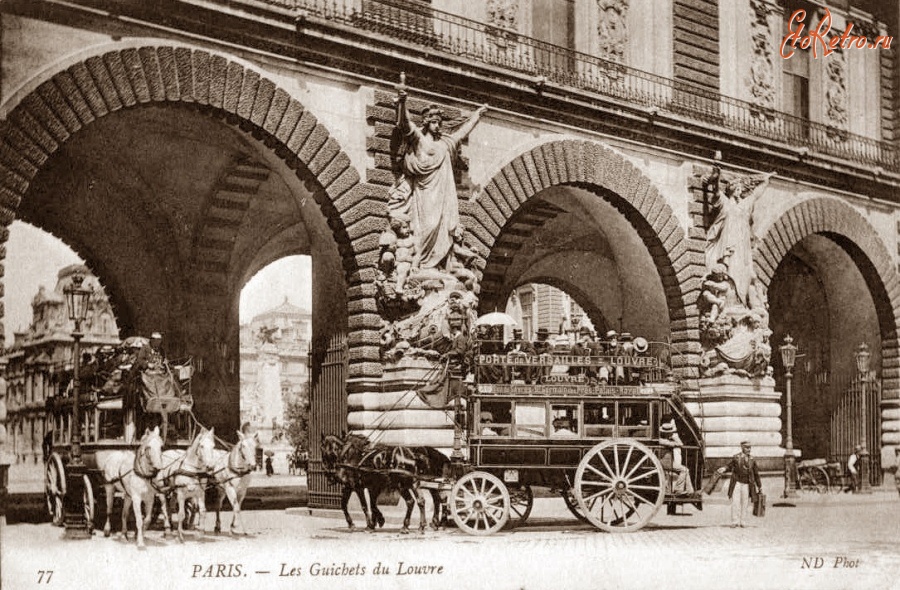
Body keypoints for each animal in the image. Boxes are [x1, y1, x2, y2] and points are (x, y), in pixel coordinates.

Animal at [322, 434, 450, 536]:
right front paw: (374, 523)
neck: (351, 456)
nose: (328, 473)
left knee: (412, 501)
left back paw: (407, 526)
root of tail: (414, 455)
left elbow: (364, 506)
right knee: (427, 500)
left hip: (402, 485)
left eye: (323, 449)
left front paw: (367, 524)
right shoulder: (370, 487)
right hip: (416, 483)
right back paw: (427, 524)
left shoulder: (356, 487)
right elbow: (370, 505)